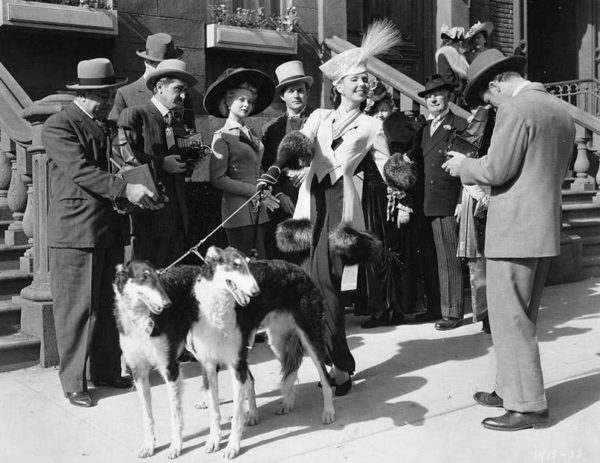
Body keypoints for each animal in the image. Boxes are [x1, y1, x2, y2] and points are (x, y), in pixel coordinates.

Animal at [113, 248, 258, 458]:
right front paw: (149, 446)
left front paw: (175, 447)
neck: (141, 319)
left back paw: (252, 414)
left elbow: (176, 416)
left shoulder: (169, 367)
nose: (167, 304)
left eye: (158, 276)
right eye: (144, 277)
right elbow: (147, 416)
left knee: (249, 379)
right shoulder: (138, 371)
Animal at [186, 250, 338, 460]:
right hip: (277, 341)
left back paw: (328, 412)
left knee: (324, 378)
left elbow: (237, 414)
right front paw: (214, 440)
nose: (256, 292)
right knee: (292, 368)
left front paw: (232, 447)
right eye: (235, 265)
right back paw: (287, 402)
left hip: (310, 337)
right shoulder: (208, 365)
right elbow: (215, 411)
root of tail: (300, 270)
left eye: (250, 264)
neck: (218, 310)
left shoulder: (237, 364)